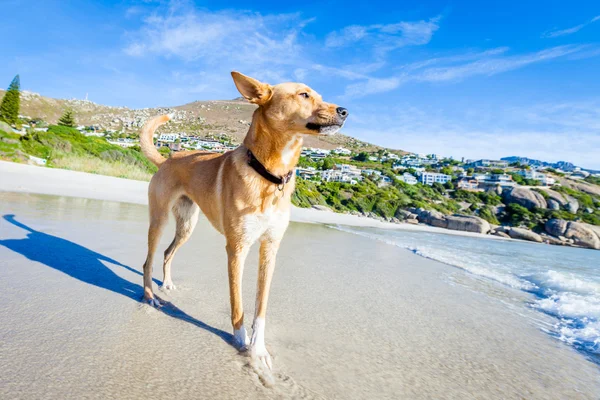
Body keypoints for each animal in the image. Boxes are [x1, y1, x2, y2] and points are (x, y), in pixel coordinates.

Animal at [139, 71, 350, 368]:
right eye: (304, 95)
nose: (345, 111)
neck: (269, 175)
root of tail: (167, 158)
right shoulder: (237, 249)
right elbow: (237, 303)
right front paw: (241, 342)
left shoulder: (269, 249)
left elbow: (260, 307)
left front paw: (258, 349)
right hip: (159, 220)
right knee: (147, 261)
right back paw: (149, 297)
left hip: (187, 226)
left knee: (168, 253)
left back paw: (166, 284)